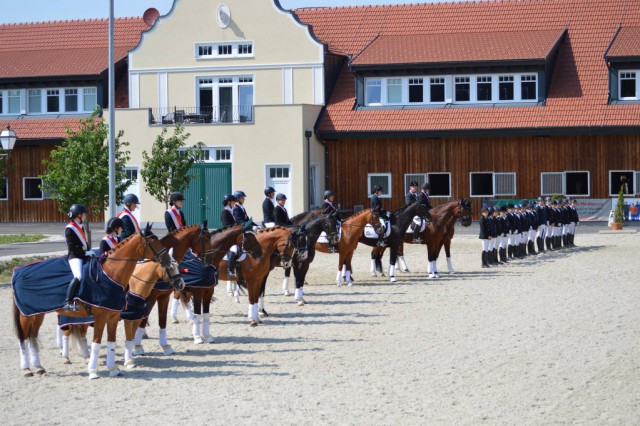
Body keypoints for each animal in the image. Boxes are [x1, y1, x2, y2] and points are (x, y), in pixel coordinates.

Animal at [14, 226, 174, 380]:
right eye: (153, 242)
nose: (167, 261)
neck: (112, 275)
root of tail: (17, 271)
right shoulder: (103, 317)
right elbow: (98, 343)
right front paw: (93, 371)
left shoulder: (115, 316)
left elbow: (113, 342)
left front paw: (113, 369)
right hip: (27, 316)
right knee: (24, 339)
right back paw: (28, 369)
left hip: (37, 314)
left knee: (33, 337)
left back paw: (39, 367)